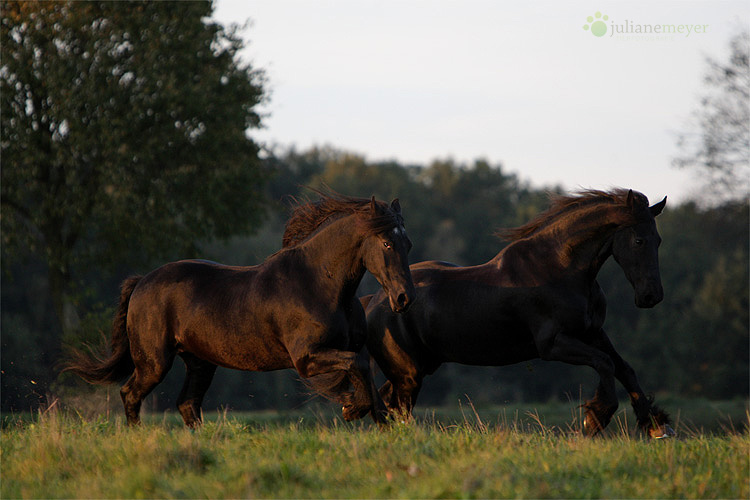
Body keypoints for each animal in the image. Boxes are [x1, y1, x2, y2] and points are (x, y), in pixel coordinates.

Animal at [64, 193, 418, 428]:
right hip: (154, 362)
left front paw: (379, 420)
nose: (404, 298)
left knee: (187, 404)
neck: (321, 285)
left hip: (200, 362)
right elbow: (357, 367)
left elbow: (366, 375)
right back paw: (138, 437)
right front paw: (352, 408)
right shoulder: (305, 358)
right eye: (387, 243)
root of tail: (140, 282)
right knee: (131, 394)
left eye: (408, 244)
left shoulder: (348, 349)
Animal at [364, 188, 676, 438]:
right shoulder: (552, 344)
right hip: (408, 373)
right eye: (639, 241)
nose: (651, 296)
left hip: (419, 367)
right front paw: (594, 419)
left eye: (659, 239)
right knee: (395, 409)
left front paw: (656, 426)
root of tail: (376, 300)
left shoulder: (593, 332)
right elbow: (605, 363)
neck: (561, 268)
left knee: (387, 403)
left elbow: (625, 369)